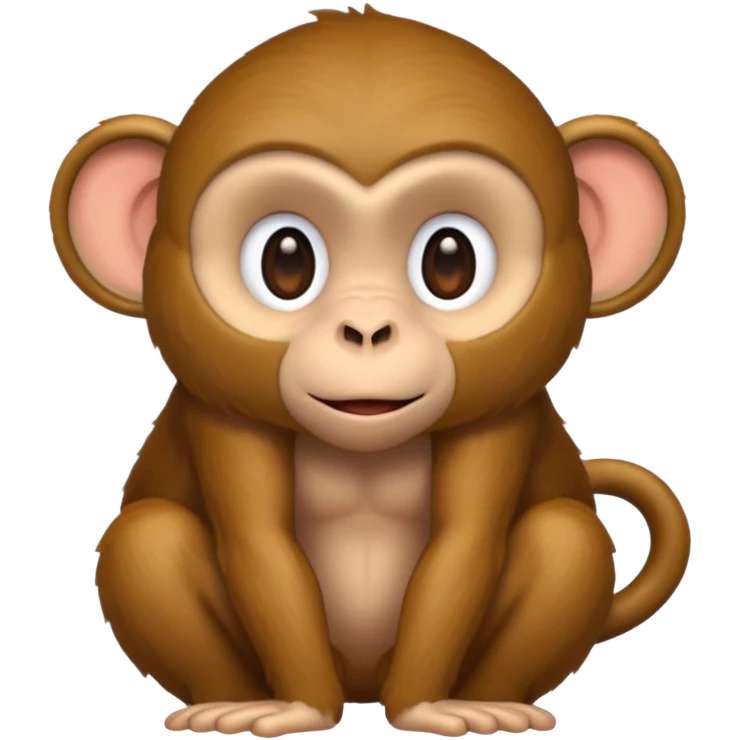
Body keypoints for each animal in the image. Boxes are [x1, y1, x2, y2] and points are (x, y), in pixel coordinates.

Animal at [50, 5, 690, 738]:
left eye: (450, 261)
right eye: (286, 260)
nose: (366, 330)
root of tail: (362, 686)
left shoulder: (503, 419)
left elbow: (465, 546)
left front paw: (424, 707)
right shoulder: (223, 417)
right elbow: (259, 545)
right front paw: (299, 708)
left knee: (567, 537)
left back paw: (496, 700)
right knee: (148, 537)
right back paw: (224, 700)